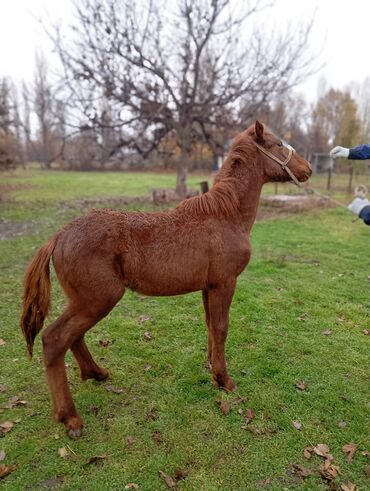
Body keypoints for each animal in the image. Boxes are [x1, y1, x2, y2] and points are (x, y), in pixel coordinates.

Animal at [20, 120, 312, 438]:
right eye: (278, 144)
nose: (308, 169)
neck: (226, 215)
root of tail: (59, 236)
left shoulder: (208, 287)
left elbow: (210, 326)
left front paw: (211, 366)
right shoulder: (225, 283)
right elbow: (221, 327)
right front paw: (224, 380)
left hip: (84, 301)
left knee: (73, 337)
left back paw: (96, 374)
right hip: (97, 299)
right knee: (54, 339)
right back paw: (70, 417)